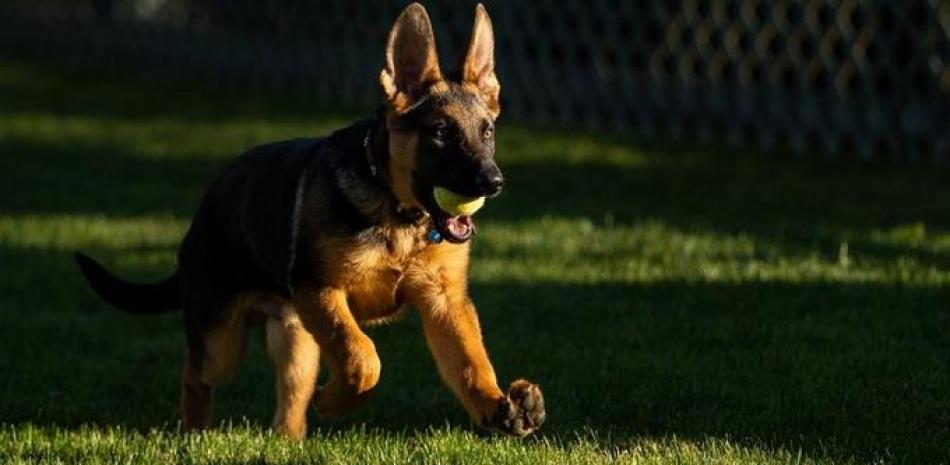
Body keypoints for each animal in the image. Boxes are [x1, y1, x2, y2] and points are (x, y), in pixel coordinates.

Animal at [74, 2, 544, 438]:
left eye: (487, 132)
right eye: (442, 133)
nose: (493, 182)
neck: (398, 214)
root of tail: (205, 207)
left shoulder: (444, 303)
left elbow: (470, 362)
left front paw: (499, 406)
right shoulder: (321, 290)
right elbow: (363, 356)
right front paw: (336, 401)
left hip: (296, 338)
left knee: (290, 399)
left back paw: (288, 439)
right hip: (221, 337)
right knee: (196, 373)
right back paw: (193, 432)